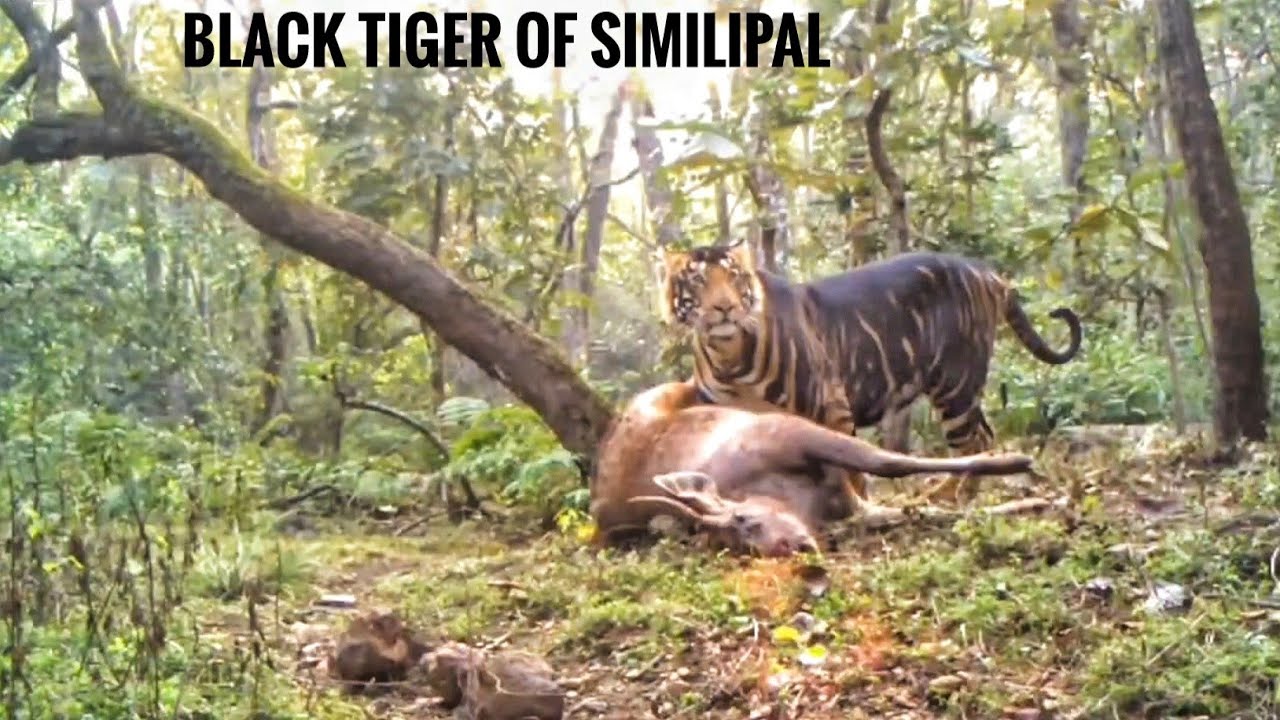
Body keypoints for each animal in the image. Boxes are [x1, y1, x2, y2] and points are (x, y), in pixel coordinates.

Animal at [658, 240, 1082, 503]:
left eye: (734, 277)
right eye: (698, 279)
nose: (724, 308)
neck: (728, 355)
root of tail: (985, 271)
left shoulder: (831, 406)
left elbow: (850, 467)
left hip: (955, 383)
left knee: (973, 441)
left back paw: (952, 496)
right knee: (985, 435)